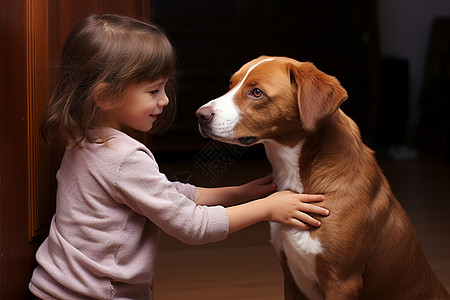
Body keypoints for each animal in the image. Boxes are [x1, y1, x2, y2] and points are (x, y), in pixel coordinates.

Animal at [196, 56, 450, 300]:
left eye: (257, 92)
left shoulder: (343, 283)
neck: (300, 177)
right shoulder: (290, 277)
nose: (200, 115)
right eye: (231, 85)